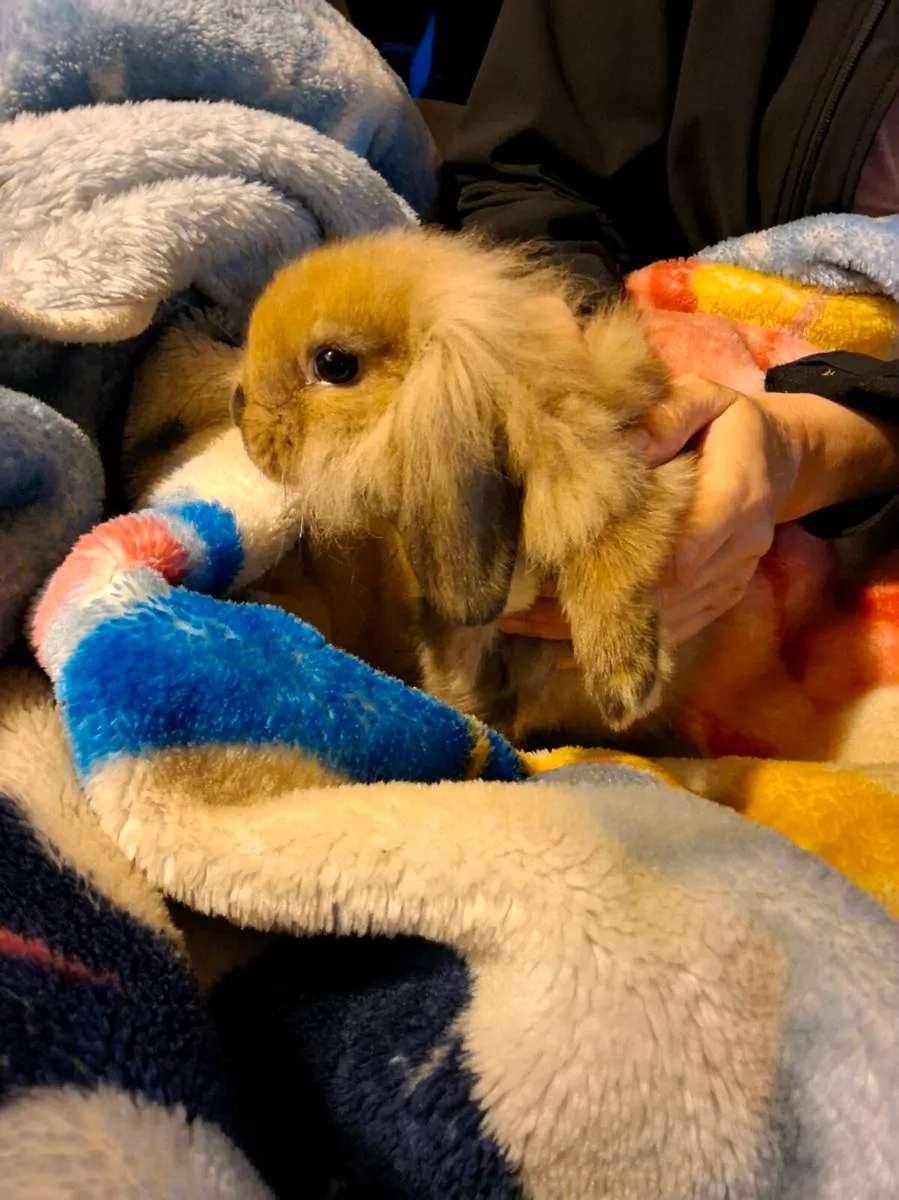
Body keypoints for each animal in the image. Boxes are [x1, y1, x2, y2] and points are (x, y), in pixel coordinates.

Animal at [229, 228, 696, 746]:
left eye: (333, 364)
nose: (239, 406)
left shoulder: (636, 476)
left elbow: (612, 554)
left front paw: (624, 683)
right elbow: (458, 673)